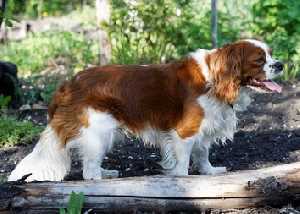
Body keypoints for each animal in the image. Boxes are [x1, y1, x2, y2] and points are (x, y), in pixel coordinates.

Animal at [8, 39, 282, 181]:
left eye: (271, 54)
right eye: (259, 60)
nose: (280, 64)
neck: (215, 78)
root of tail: (67, 84)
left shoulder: (204, 128)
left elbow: (203, 153)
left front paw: (209, 172)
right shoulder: (185, 131)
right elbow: (184, 160)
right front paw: (183, 180)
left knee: (90, 162)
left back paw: (106, 173)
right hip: (99, 130)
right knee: (88, 171)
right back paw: (101, 181)